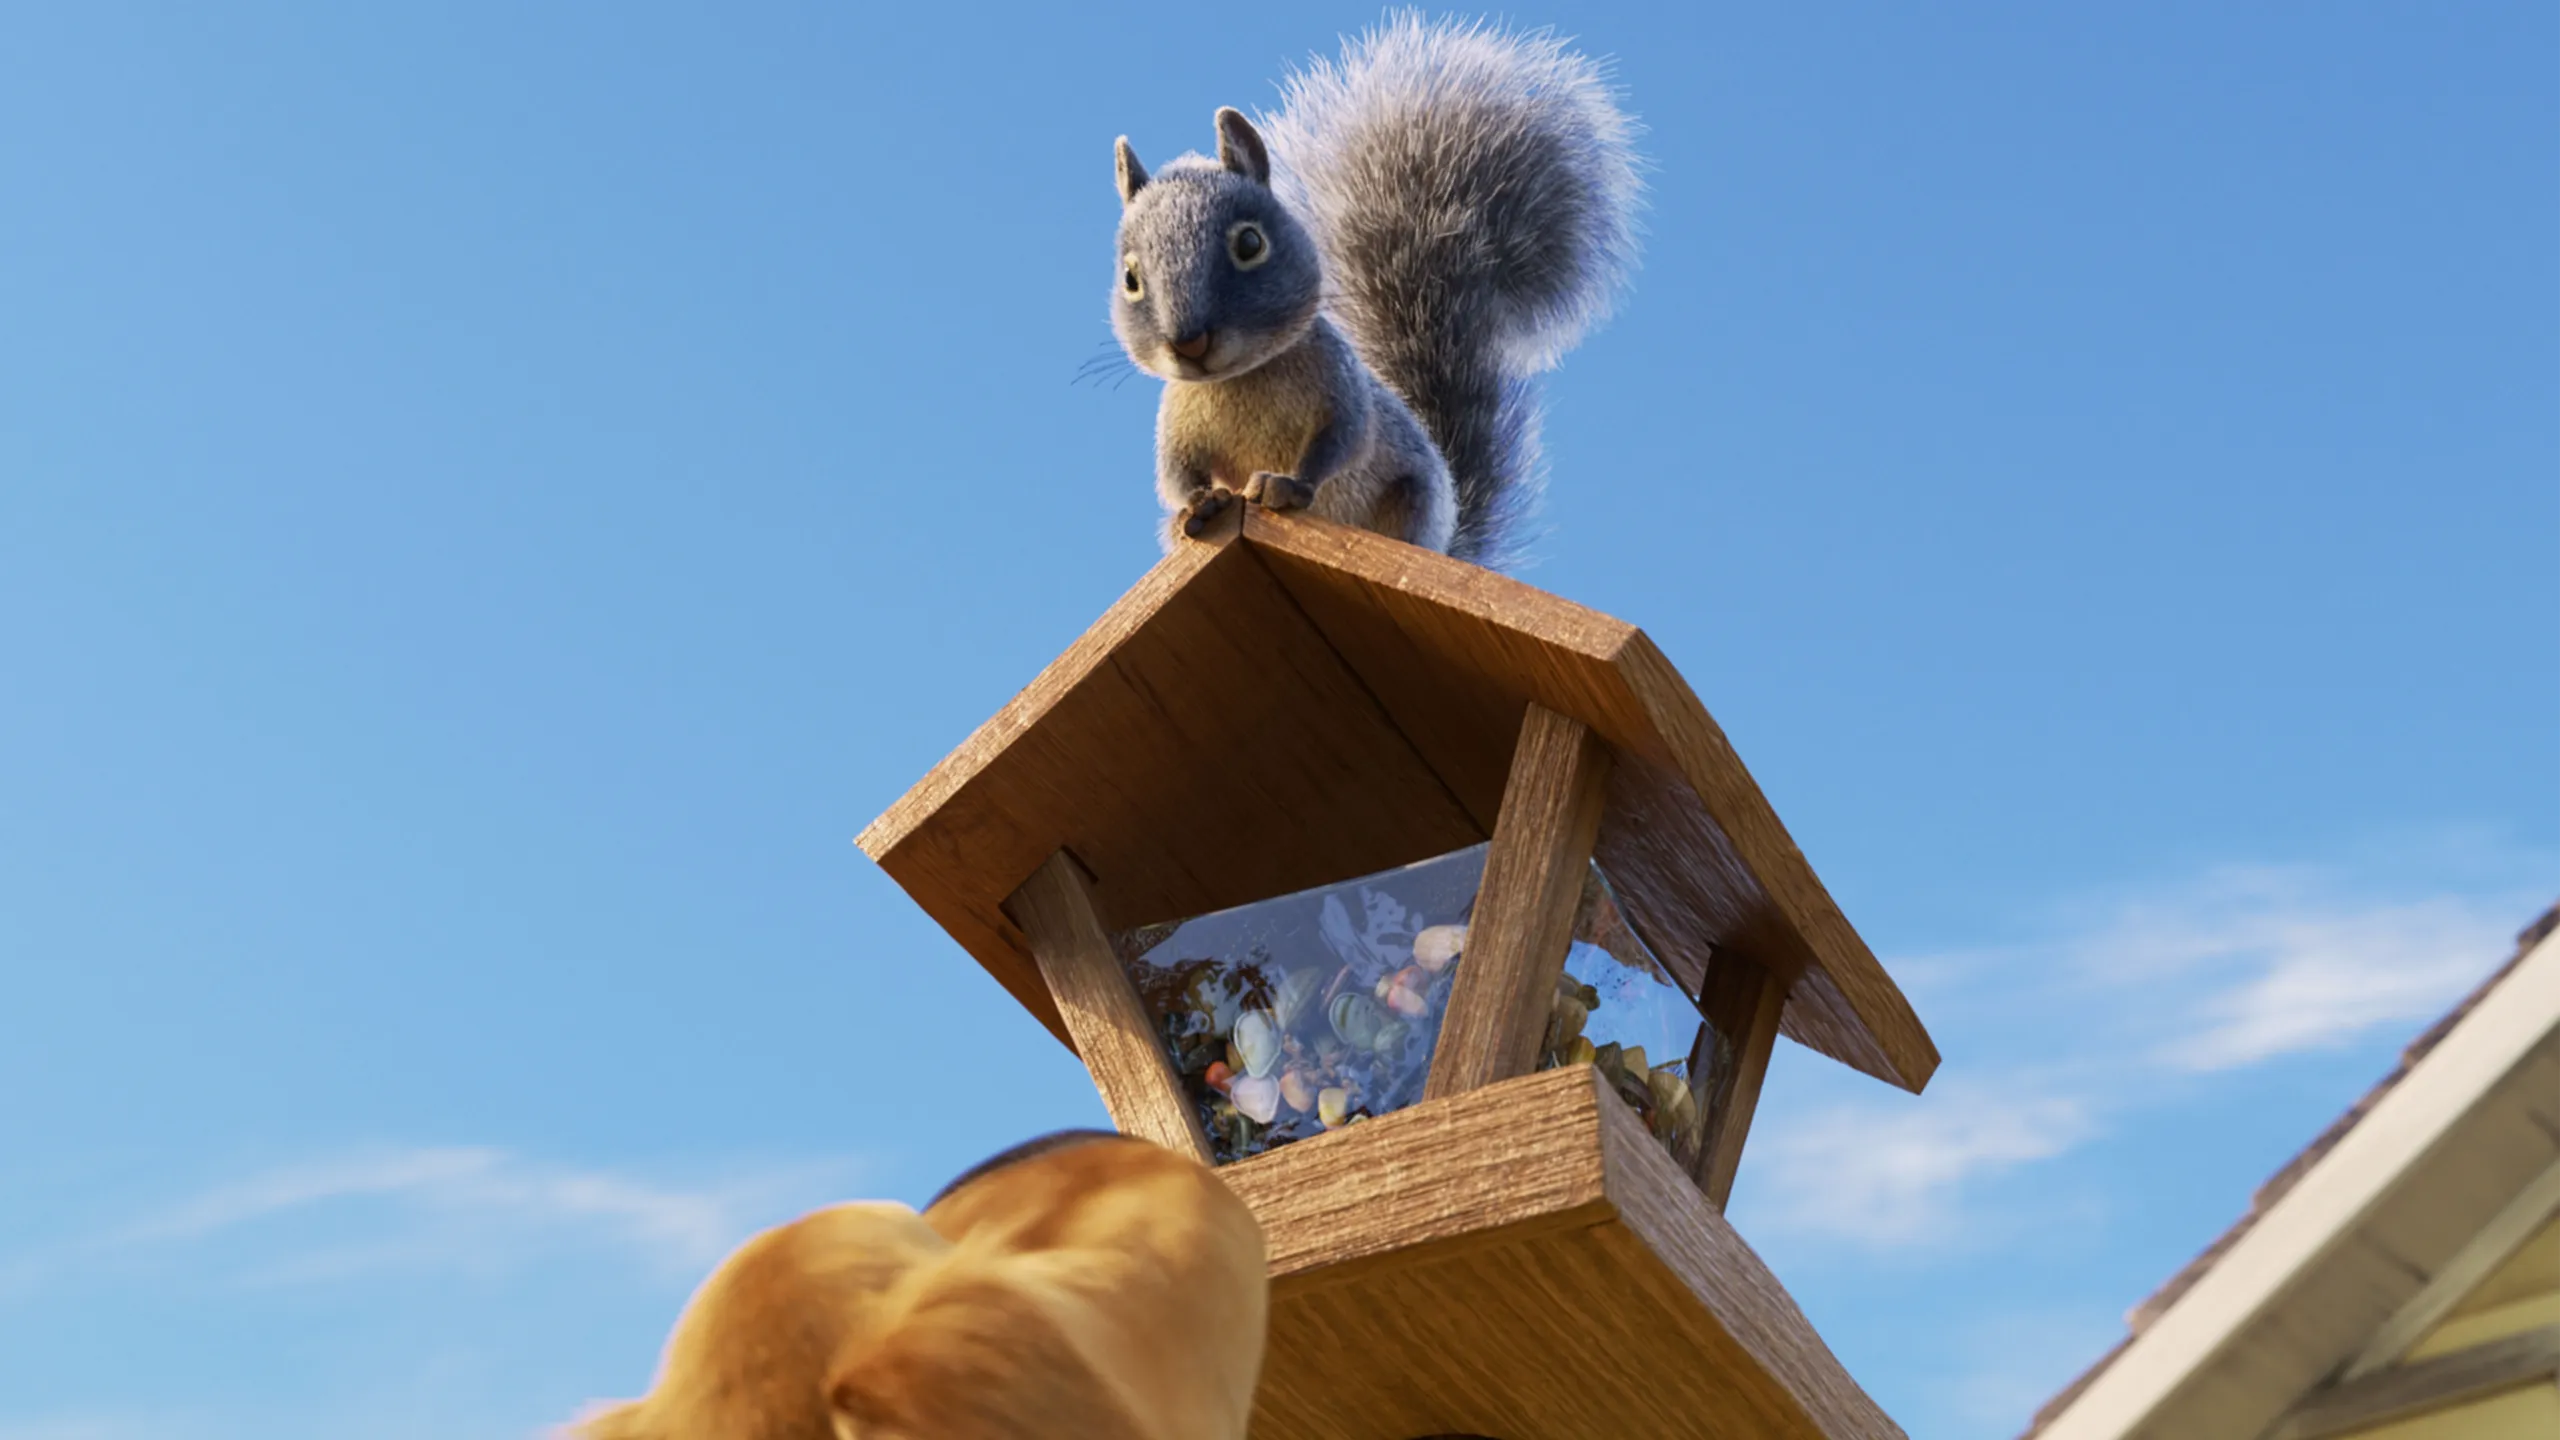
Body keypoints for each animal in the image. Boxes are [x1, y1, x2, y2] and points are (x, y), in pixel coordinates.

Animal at [1109, 14, 1641, 569]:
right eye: (1130, 278)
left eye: (1251, 243)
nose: (1189, 343)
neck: (1241, 378)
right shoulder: (1177, 423)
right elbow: (1176, 475)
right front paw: (1200, 502)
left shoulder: (1342, 388)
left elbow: (1341, 440)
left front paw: (1286, 486)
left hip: (1413, 500)